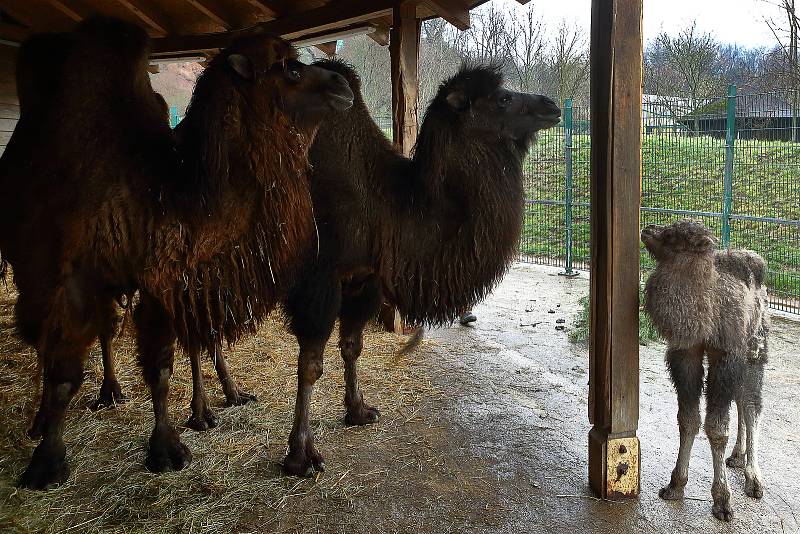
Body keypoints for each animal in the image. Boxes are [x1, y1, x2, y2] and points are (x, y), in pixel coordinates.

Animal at [0, 18, 352, 492]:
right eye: (291, 70)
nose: (343, 85)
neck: (157, 192)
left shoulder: (161, 281)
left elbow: (161, 369)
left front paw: (166, 447)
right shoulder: (75, 279)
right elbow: (65, 373)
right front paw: (47, 463)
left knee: (103, 331)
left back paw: (116, 392)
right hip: (35, 271)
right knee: (47, 338)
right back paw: (44, 419)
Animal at [644, 221, 768, 524]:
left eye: (675, 236)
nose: (648, 228)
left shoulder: (726, 356)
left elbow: (716, 427)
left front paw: (723, 501)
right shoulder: (686, 353)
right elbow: (688, 419)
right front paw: (675, 485)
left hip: (755, 348)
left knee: (751, 405)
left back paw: (753, 479)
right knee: (741, 401)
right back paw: (737, 456)